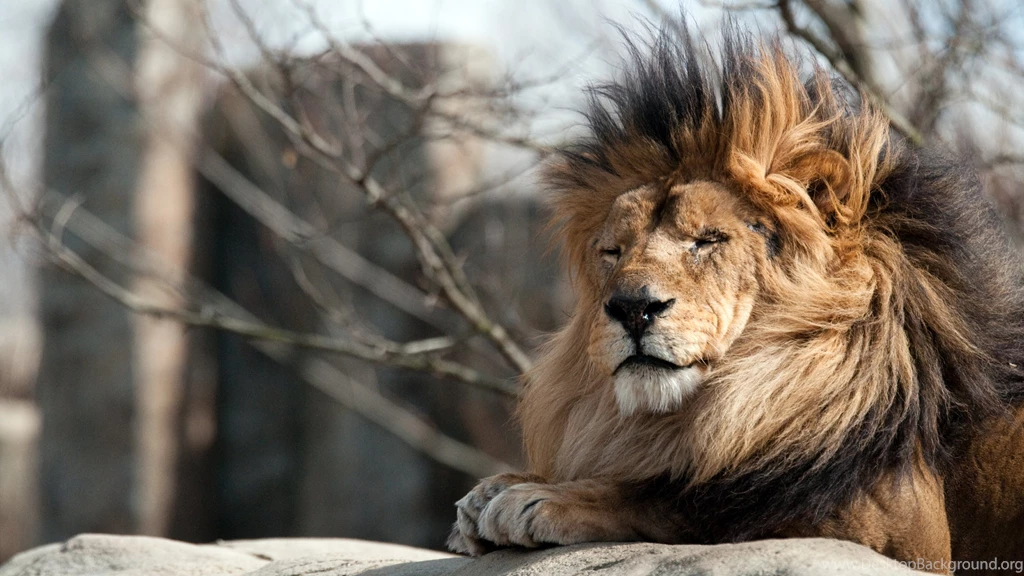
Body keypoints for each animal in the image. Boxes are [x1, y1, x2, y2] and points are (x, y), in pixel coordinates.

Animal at [447, 27, 1024, 574]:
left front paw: (535, 498)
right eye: (613, 251)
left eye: (708, 240)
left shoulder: (893, 528)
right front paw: (492, 490)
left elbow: (682, 500)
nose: (632, 308)